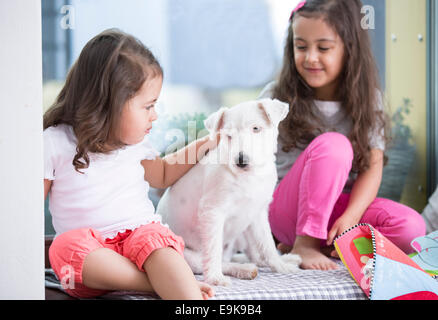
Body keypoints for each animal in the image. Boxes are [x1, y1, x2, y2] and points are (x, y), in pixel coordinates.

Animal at [157, 99, 302, 286]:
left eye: (256, 128)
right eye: (228, 135)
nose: (241, 161)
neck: (249, 177)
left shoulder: (258, 212)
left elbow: (267, 243)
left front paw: (280, 265)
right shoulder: (212, 212)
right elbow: (213, 249)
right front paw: (215, 278)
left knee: (253, 253)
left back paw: (282, 260)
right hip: (185, 253)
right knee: (211, 261)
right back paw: (243, 270)